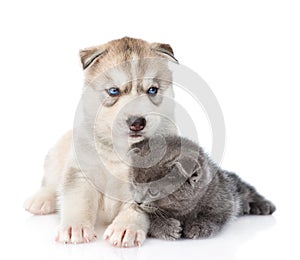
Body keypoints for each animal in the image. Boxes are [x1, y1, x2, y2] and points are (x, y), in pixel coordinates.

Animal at [24, 37, 178, 248]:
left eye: (152, 90)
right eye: (113, 91)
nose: (137, 122)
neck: (120, 149)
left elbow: (137, 207)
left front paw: (125, 227)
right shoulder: (80, 172)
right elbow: (76, 199)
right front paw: (74, 227)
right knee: (51, 180)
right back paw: (41, 199)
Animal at [128, 136, 274, 240]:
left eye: (153, 191)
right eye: (134, 184)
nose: (137, 201)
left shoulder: (224, 198)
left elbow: (218, 216)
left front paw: (198, 226)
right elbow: (148, 218)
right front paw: (167, 227)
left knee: (245, 188)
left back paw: (263, 205)